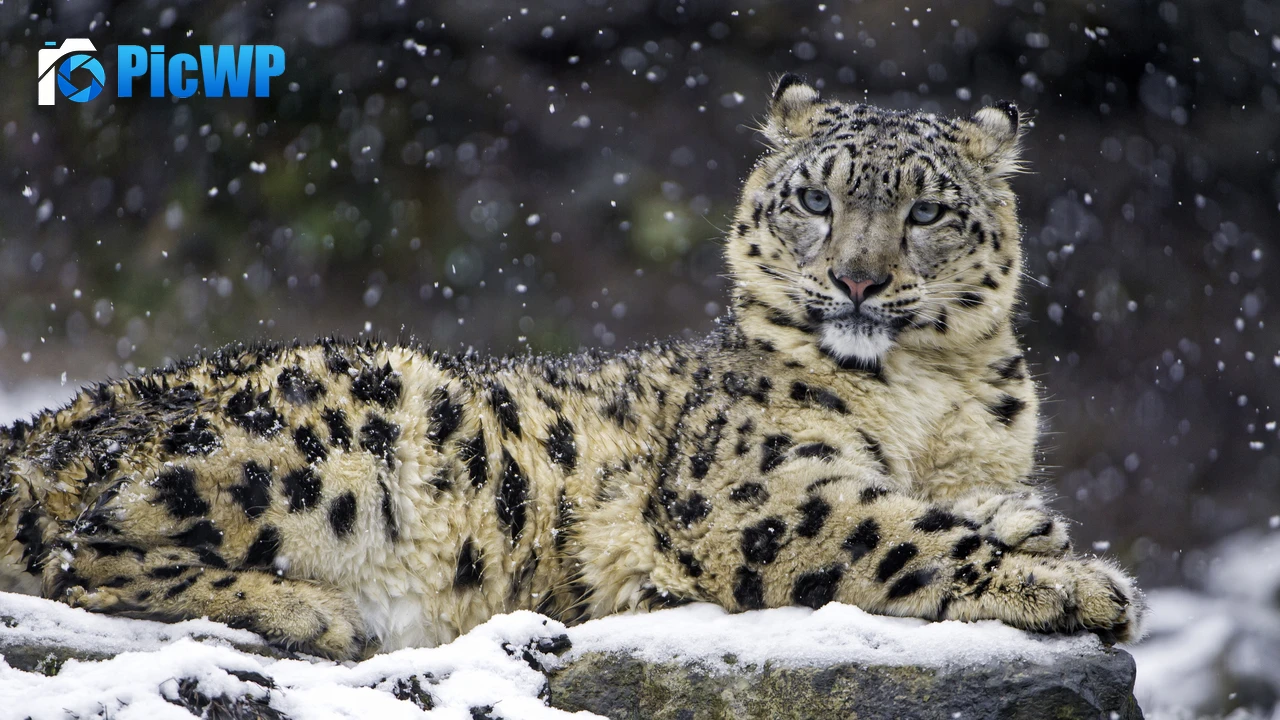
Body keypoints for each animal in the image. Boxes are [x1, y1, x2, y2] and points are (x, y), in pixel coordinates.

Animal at [0, 75, 1144, 660]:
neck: (929, 397)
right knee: (80, 554)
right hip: (336, 430)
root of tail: (45, 423)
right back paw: (308, 611)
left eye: (928, 210)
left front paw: (1032, 524)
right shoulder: (754, 489)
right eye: (815, 199)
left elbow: (953, 506)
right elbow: (899, 535)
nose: (858, 281)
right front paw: (1077, 585)